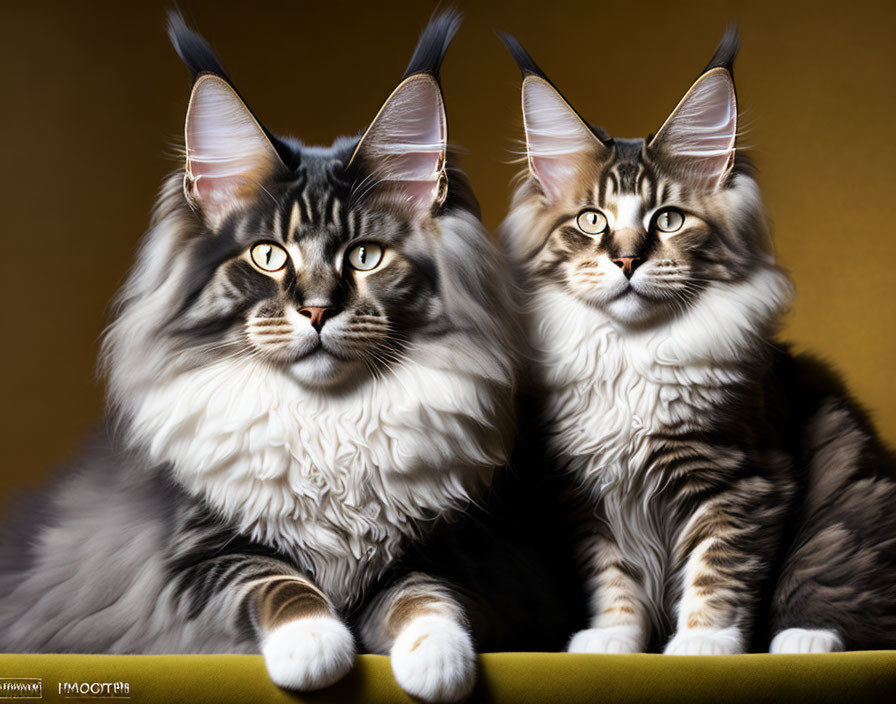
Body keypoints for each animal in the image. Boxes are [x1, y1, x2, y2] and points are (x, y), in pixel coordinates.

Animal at [0, 12, 520, 704]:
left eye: (365, 256)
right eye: (269, 256)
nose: (318, 311)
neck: (327, 425)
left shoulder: (436, 554)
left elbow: (427, 600)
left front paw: (439, 663)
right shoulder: (198, 555)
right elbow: (276, 582)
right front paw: (317, 647)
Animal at [496, 27, 896, 656]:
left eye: (668, 220)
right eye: (591, 220)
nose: (626, 260)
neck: (631, 353)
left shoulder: (742, 479)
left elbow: (717, 570)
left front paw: (703, 644)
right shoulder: (588, 493)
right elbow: (613, 576)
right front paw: (613, 638)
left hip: (845, 494)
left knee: (844, 588)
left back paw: (803, 638)